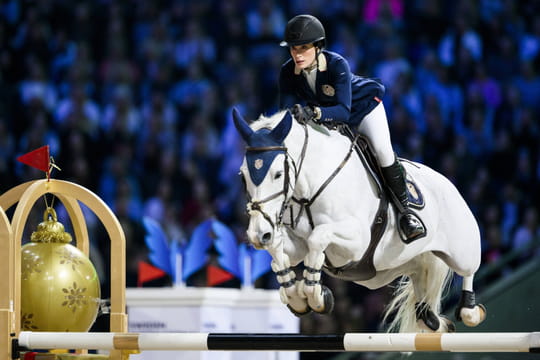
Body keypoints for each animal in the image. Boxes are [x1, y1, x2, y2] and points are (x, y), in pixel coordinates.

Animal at [234, 108, 488, 334]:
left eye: (278, 174)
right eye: (243, 176)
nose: (258, 234)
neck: (309, 187)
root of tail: (449, 183)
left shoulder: (356, 241)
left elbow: (318, 236)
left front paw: (316, 297)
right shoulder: (297, 245)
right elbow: (280, 249)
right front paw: (295, 295)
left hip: (461, 251)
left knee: (469, 271)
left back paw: (470, 312)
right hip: (387, 270)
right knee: (422, 292)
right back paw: (436, 321)